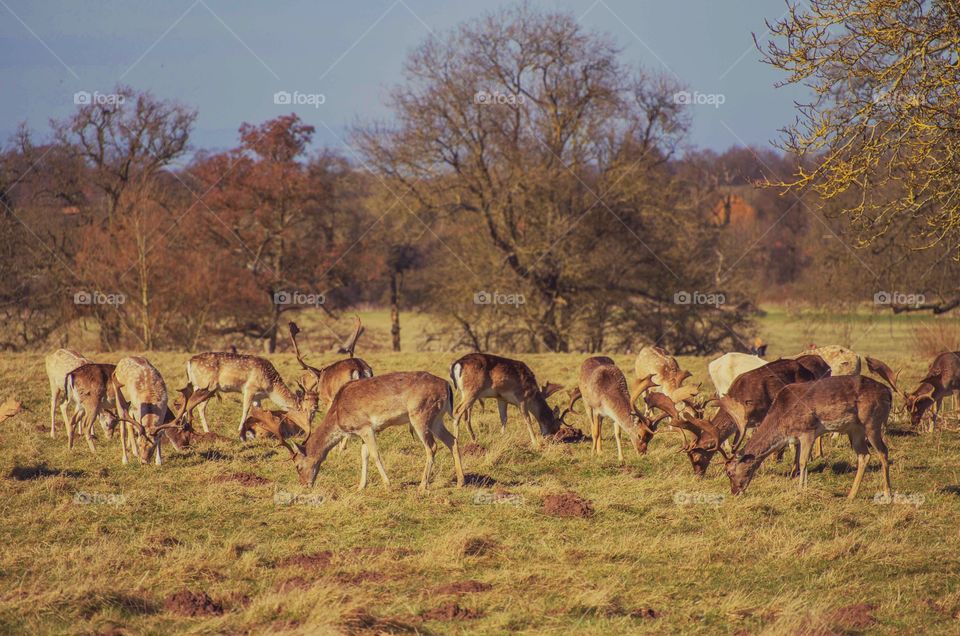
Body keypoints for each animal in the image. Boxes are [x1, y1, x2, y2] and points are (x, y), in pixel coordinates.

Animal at [186, 322, 320, 438]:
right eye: (303, 409)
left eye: (314, 411)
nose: (307, 429)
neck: (270, 387)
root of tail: (189, 362)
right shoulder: (249, 388)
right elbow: (245, 409)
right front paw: (239, 430)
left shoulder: (258, 397)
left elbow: (259, 412)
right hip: (207, 387)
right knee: (200, 407)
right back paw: (207, 431)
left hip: (197, 386)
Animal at [274, 372, 464, 492]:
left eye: (297, 466)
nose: (304, 485)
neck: (338, 415)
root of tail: (447, 385)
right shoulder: (360, 432)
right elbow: (363, 455)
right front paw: (360, 486)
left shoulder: (366, 427)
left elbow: (374, 454)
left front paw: (388, 484)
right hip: (437, 418)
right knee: (452, 440)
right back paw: (460, 482)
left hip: (420, 414)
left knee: (431, 447)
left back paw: (422, 485)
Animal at [724, 372, 896, 502]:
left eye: (729, 472)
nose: (734, 492)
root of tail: (888, 392)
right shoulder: (798, 438)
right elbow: (798, 461)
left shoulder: (808, 431)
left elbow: (803, 462)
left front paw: (802, 490)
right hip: (855, 430)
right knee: (864, 455)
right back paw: (850, 495)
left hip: (872, 423)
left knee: (883, 451)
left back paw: (887, 494)